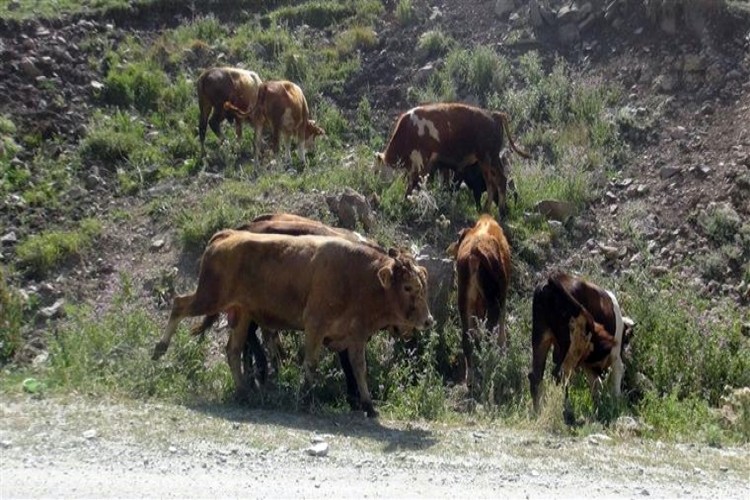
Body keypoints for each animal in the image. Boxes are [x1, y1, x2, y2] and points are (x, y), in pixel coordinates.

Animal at [153, 230, 432, 418]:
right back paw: (159, 349)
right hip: (209, 297)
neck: (360, 278)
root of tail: (227, 234)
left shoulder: (356, 335)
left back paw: (244, 392)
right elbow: (311, 363)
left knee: (232, 350)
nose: (428, 320)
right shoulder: (316, 325)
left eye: (423, 286)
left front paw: (368, 406)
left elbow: (359, 369)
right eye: (408, 287)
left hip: (241, 313)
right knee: (178, 304)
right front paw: (306, 400)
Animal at [374, 103, 528, 215]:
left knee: (493, 183)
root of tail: (494, 115)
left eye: (376, 171)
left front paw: (408, 200)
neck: (409, 129)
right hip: (493, 159)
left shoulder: (424, 159)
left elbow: (417, 181)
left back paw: (489, 210)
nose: (377, 188)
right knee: (500, 180)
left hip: (486, 158)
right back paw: (499, 210)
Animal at [450, 213, 516, 388]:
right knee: (486, 335)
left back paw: (470, 378)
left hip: (463, 301)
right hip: (493, 302)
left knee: (467, 338)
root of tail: (474, 254)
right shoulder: (503, 294)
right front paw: (502, 346)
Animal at [528, 272, 636, 416]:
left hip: (541, 337)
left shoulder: (587, 365)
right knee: (560, 374)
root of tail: (550, 283)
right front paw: (616, 405)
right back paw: (567, 411)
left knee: (536, 376)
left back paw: (538, 412)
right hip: (575, 343)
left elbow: (596, 385)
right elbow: (615, 379)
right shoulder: (615, 357)